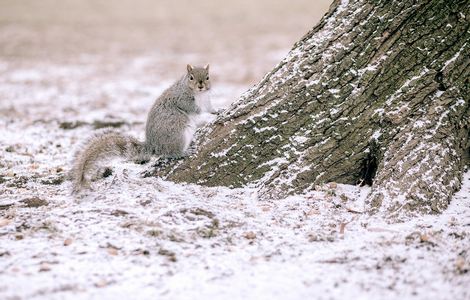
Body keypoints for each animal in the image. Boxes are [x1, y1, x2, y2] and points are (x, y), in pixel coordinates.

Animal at [70, 64, 217, 193]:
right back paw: (184, 152)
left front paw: (217, 111)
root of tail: (153, 146)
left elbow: (210, 109)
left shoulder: (207, 101)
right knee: (170, 153)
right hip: (177, 132)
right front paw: (201, 110)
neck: (199, 94)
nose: (201, 85)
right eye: (191, 77)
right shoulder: (181, 99)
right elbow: (193, 108)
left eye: (208, 77)